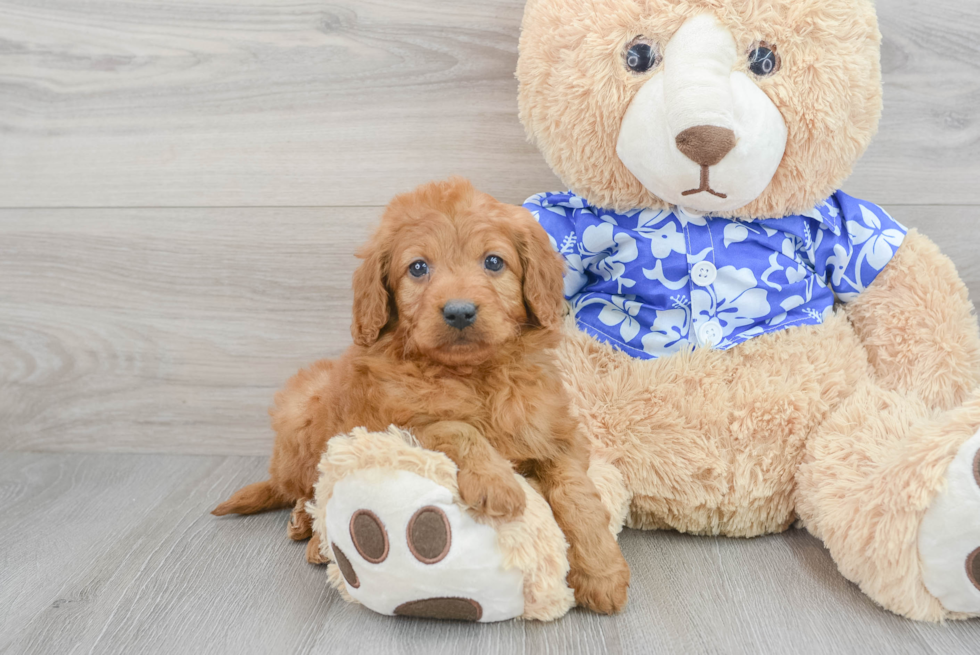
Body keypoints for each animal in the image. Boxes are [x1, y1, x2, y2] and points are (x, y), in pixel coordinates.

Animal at [212, 176, 632, 616]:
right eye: (418, 268)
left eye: (493, 262)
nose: (460, 311)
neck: (474, 375)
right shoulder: (398, 424)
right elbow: (456, 426)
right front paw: (496, 481)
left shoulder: (556, 434)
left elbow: (577, 493)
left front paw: (601, 572)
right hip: (300, 414)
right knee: (305, 490)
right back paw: (309, 533)